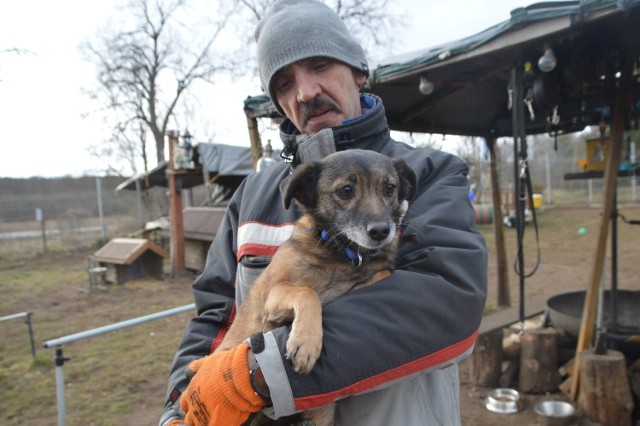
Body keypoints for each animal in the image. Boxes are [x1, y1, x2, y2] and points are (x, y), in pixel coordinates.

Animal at [215, 148, 416, 424]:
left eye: (389, 188)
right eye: (345, 190)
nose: (381, 231)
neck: (340, 253)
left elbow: (381, 273)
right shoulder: (273, 293)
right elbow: (307, 292)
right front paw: (306, 342)